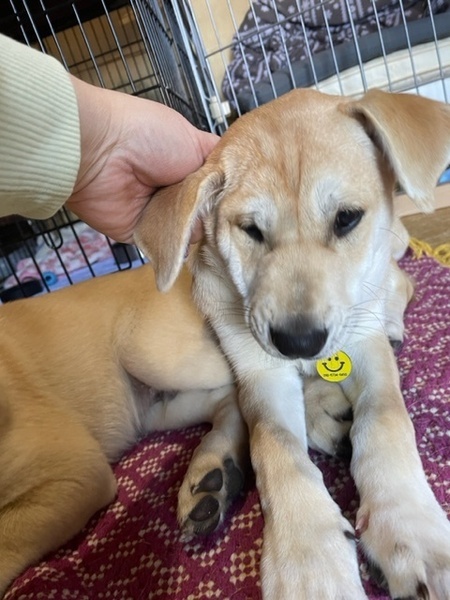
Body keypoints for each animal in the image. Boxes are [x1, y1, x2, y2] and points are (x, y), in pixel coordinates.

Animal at [1, 89, 449, 599]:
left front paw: (409, 527)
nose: (298, 341)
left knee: (400, 280)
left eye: (347, 218)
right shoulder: (258, 367)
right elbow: (274, 447)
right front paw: (308, 558)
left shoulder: (363, 343)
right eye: (251, 229)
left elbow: (386, 419)